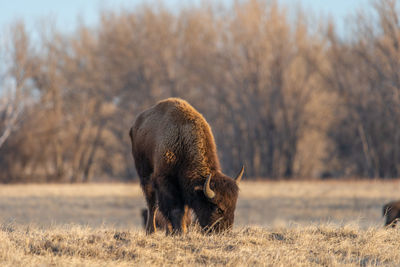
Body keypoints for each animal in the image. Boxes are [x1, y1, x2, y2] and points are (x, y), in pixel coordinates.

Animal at [130, 98, 244, 234]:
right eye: (218, 209)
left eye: (233, 207)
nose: (224, 232)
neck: (183, 140)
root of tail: (135, 125)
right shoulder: (166, 182)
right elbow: (175, 209)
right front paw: (180, 231)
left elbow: (183, 211)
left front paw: (180, 230)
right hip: (145, 176)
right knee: (152, 203)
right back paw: (151, 231)